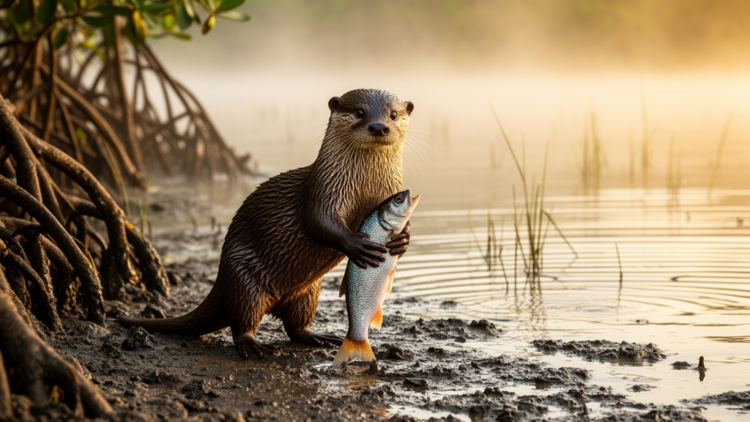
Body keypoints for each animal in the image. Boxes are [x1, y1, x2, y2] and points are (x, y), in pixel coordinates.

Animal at [119, 89, 414, 359]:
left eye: (393, 114)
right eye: (360, 112)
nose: (379, 127)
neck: (364, 189)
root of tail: (221, 283)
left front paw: (403, 241)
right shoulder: (322, 191)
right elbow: (319, 223)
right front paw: (358, 246)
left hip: (308, 292)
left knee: (296, 327)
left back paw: (319, 337)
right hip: (245, 279)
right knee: (242, 322)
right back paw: (254, 346)